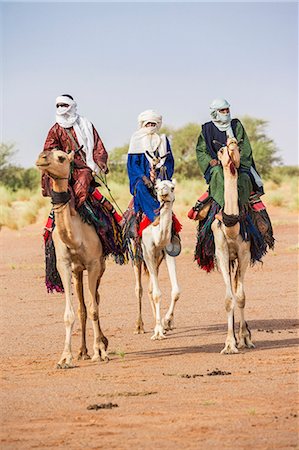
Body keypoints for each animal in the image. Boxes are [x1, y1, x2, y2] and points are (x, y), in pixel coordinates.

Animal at [36, 149, 109, 368]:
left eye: (60, 157)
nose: (41, 158)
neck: (75, 237)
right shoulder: (64, 265)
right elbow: (70, 313)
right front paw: (64, 358)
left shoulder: (93, 264)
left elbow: (94, 309)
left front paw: (99, 352)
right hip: (77, 272)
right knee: (82, 307)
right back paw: (82, 351)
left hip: (100, 267)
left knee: (96, 299)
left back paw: (101, 343)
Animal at [135, 178, 182, 340]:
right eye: (156, 187)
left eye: (172, 187)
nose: (163, 192)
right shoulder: (148, 252)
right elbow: (157, 294)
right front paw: (158, 332)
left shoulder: (168, 252)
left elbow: (176, 291)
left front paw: (166, 322)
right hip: (137, 257)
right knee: (139, 289)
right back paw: (139, 327)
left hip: (157, 260)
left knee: (150, 288)